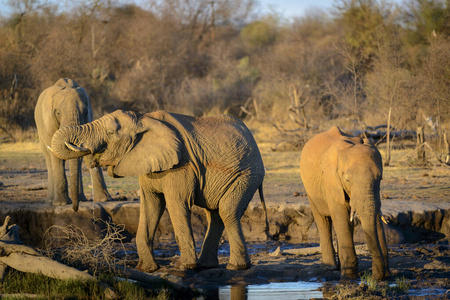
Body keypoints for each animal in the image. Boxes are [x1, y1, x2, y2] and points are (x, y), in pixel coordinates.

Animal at [33, 78, 110, 212]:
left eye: (85, 112)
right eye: (58, 113)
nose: (75, 209)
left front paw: (104, 200)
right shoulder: (49, 122)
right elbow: (56, 154)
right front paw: (61, 204)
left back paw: (81, 199)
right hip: (39, 128)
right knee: (48, 157)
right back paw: (51, 200)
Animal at [49, 109, 268, 272]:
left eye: (110, 134)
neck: (143, 119)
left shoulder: (181, 166)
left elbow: (176, 205)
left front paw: (183, 267)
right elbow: (151, 206)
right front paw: (146, 269)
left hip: (247, 175)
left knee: (227, 212)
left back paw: (236, 268)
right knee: (215, 214)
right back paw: (210, 266)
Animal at [298, 126, 390, 278]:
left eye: (380, 178)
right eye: (347, 179)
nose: (375, 276)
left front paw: (385, 276)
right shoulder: (331, 180)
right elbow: (340, 216)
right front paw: (349, 277)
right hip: (310, 188)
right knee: (323, 220)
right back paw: (329, 267)